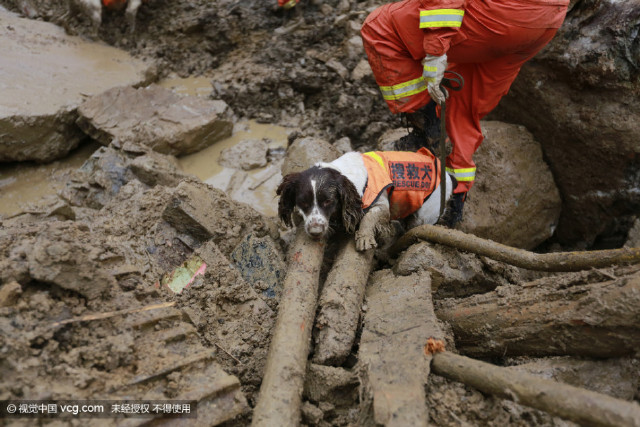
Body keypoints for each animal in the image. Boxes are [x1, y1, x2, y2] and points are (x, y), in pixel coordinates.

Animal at [276, 150, 456, 251]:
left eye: (328, 201)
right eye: (303, 203)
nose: (315, 232)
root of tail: (447, 175)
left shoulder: (381, 203)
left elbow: (370, 216)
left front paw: (364, 238)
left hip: (426, 213)